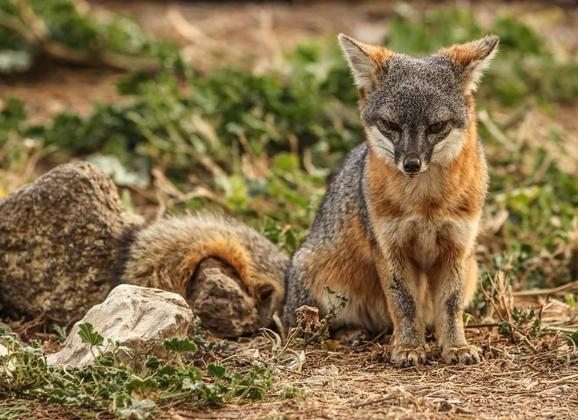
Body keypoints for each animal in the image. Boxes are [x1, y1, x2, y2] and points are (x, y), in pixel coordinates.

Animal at [282, 34, 498, 366]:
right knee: (310, 325)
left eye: (436, 127)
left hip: (472, 270)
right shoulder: (389, 247)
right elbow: (404, 302)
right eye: (391, 125)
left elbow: (451, 305)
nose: (411, 164)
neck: (426, 204)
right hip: (319, 289)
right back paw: (351, 333)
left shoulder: (457, 248)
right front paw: (408, 346)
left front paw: (456, 346)